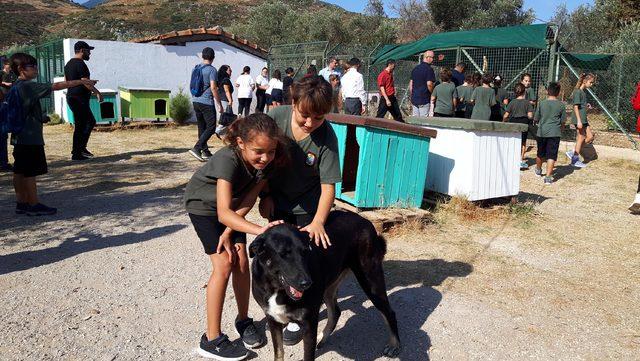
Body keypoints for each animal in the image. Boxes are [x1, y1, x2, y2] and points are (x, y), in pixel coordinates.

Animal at [250, 210, 400, 358]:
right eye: (282, 253)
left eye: (305, 251)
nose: (307, 283)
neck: (276, 288)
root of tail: (365, 221)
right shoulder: (272, 319)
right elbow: (279, 352)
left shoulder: (309, 322)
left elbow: (308, 355)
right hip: (328, 288)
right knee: (336, 312)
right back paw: (322, 337)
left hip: (371, 282)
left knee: (390, 312)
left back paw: (394, 345)